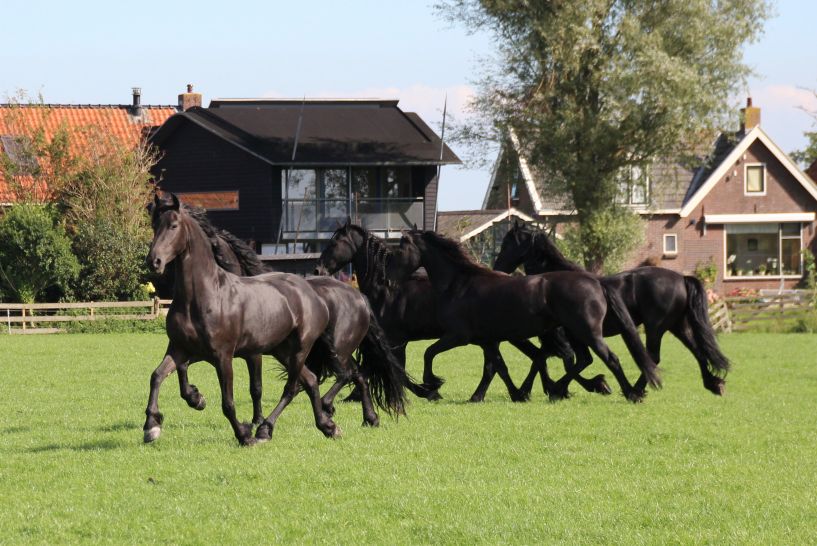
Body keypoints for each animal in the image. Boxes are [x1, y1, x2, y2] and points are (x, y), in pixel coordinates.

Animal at [143, 192, 405, 446]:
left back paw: (268, 429)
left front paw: (245, 433)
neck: (206, 295)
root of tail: (357, 296)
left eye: (173, 226)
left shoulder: (226, 356)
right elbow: (157, 376)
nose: (154, 261)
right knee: (318, 380)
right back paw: (337, 424)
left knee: (301, 385)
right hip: (285, 350)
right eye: (154, 225)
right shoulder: (181, 349)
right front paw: (155, 424)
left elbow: (232, 401)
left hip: (309, 349)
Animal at [315, 222, 610, 401]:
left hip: (516, 335)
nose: (318, 269)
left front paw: (429, 389)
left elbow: (400, 367)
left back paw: (562, 388)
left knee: (553, 356)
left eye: (334, 244)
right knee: (538, 358)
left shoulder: (399, 339)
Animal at [395, 229, 662, 402]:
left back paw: (630, 393)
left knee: (611, 358)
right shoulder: (488, 340)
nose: (393, 278)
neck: (459, 284)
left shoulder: (458, 336)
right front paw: (506, 394)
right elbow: (501, 366)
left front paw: (432, 384)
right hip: (577, 333)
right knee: (586, 359)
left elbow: (430, 353)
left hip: (588, 332)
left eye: (399, 249)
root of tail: (596, 282)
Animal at [493, 223, 730, 395]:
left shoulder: (563, 336)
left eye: (507, 244)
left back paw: (636, 389)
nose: (497, 268)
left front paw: (568, 387)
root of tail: (681, 278)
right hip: (677, 326)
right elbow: (556, 360)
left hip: (656, 328)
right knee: (697, 351)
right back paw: (713, 384)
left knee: (653, 357)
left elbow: (557, 361)